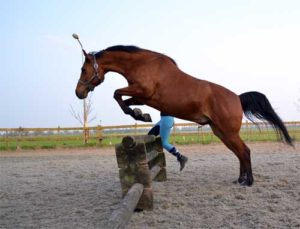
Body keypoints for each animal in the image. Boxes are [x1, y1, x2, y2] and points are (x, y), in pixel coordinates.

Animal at [73, 35, 292, 186]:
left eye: (83, 70)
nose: (78, 93)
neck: (142, 64)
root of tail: (237, 98)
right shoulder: (143, 97)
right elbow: (121, 98)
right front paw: (141, 115)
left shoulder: (144, 92)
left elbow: (117, 93)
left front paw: (138, 114)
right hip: (221, 132)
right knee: (239, 153)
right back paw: (240, 179)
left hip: (228, 132)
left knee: (245, 151)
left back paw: (249, 182)